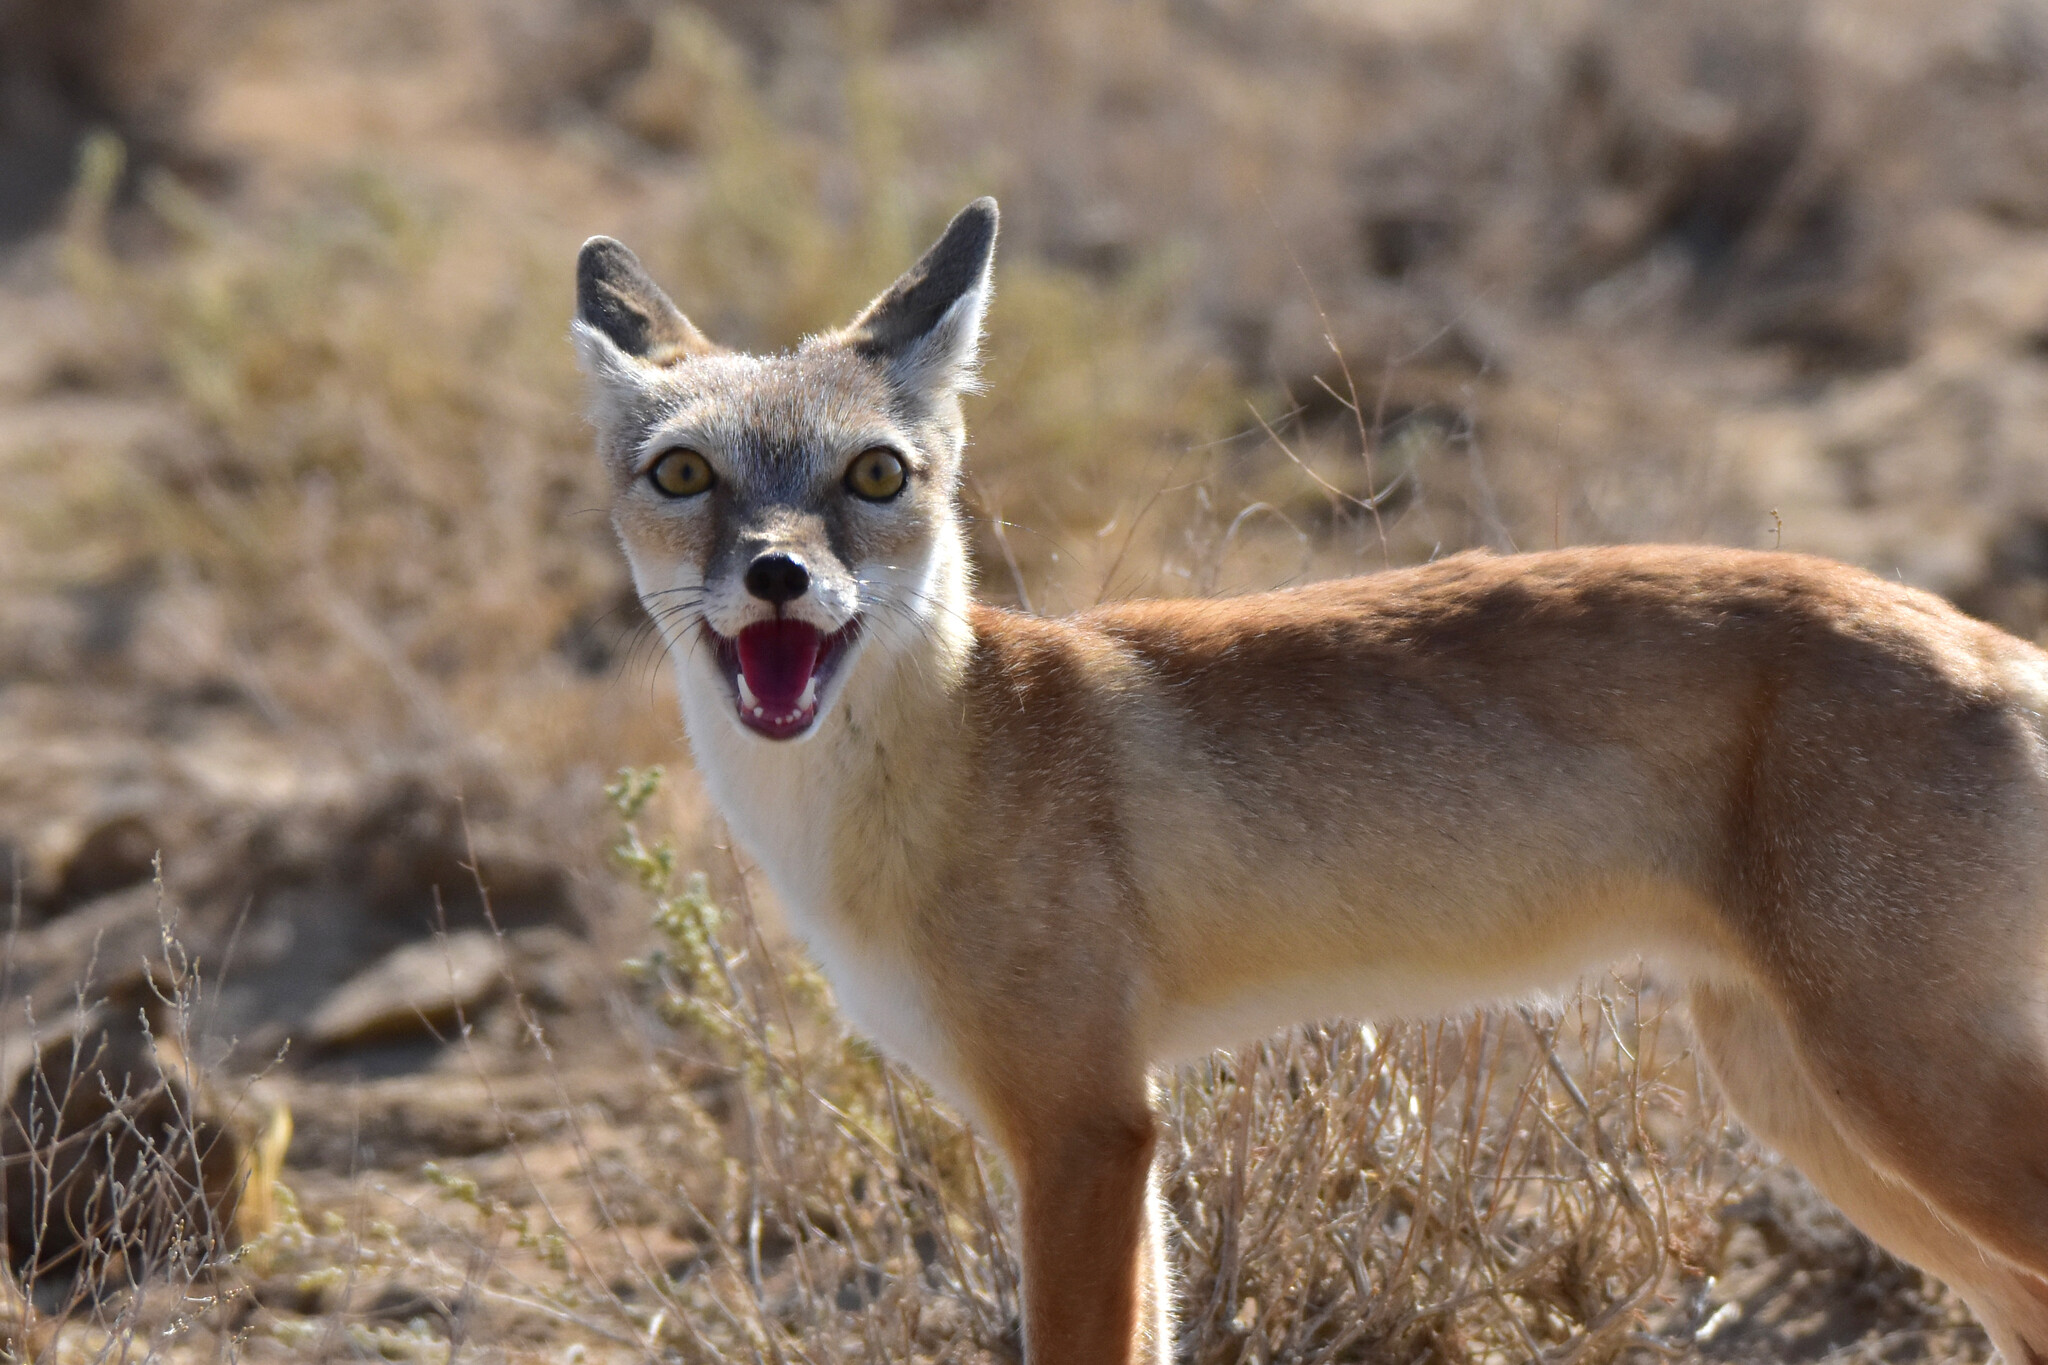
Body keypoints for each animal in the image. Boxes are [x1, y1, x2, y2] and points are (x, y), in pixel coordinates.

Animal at [573, 197, 2048, 1365]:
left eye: (875, 474)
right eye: (684, 472)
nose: (779, 575)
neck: (944, 763)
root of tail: (1995, 641)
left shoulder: (1085, 1127)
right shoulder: (1111, 1136)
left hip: (1892, 1093)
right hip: (1802, 1101)